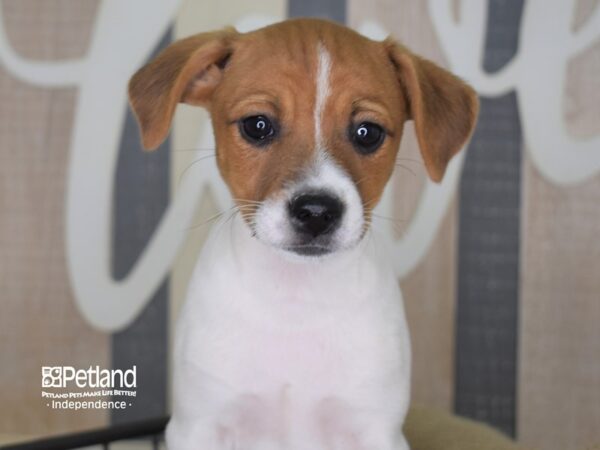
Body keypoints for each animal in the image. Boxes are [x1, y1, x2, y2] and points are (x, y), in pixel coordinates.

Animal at [127, 17, 478, 450]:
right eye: (258, 125)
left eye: (368, 132)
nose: (316, 212)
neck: (296, 297)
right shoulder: (199, 425)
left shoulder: (377, 429)